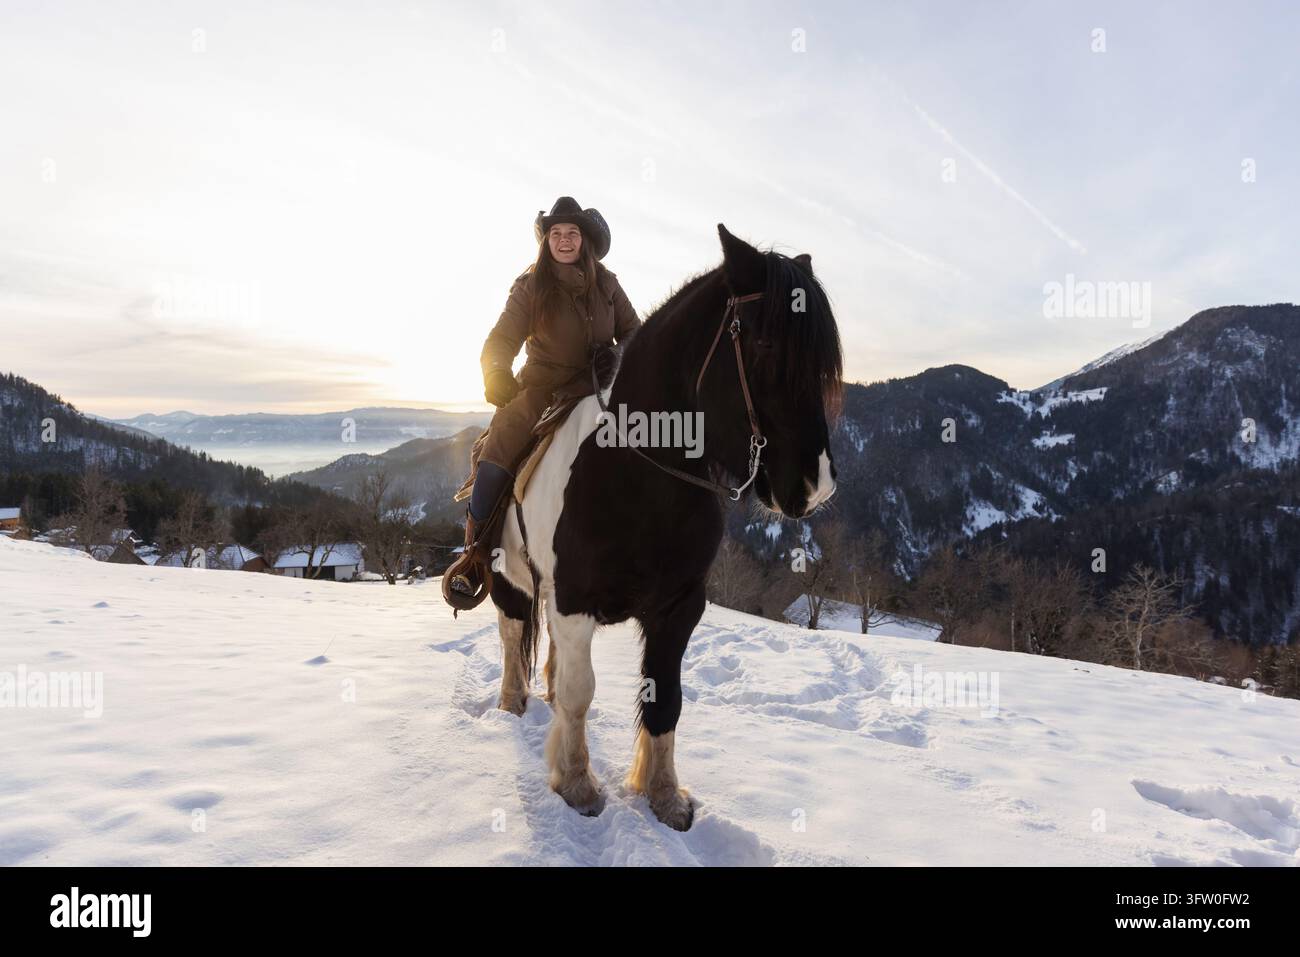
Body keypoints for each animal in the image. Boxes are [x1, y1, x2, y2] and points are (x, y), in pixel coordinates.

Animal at [488, 224, 843, 830]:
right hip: (508, 576)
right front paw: (577, 785)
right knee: (513, 634)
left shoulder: (679, 608)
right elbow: (581, 693)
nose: (813, 485)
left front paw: (664, 796)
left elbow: (665, 700)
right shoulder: (575, 600)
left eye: (823, 360)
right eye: (765, 344)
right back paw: (512, 702)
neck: (636, 475)